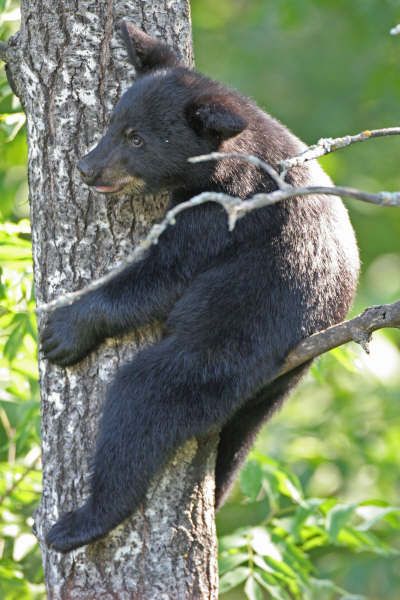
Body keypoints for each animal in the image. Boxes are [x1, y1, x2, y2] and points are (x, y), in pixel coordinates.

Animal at [42, 21, 360, 552]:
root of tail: (300, 359)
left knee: (148, 398)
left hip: (234, 339)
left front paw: (65, 328)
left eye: (137, 138)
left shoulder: (222, 209)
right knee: (233, 445)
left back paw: (85, 519)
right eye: (113, 123)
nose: (87, 168)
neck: (226, 157)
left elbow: (162, 274)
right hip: (262, 398)